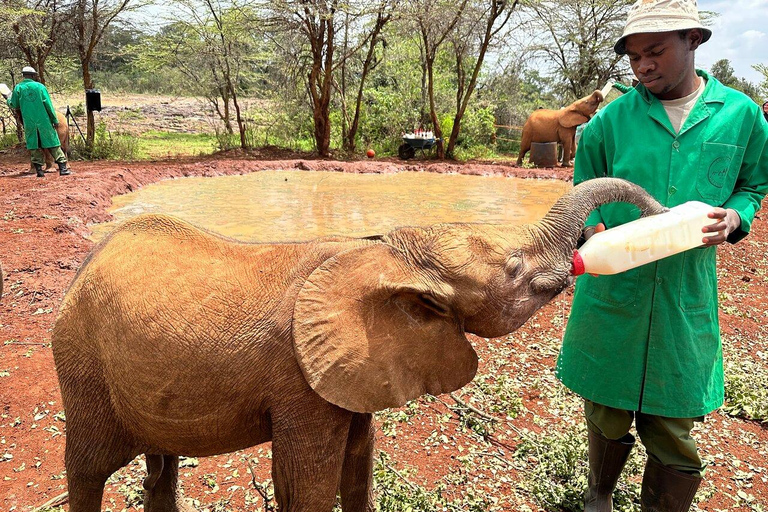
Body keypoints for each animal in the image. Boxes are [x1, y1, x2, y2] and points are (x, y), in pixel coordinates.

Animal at [52, 177, 664, 512]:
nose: (665, 210)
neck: (386, 254)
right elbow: (307, 485)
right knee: (88, 469)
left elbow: (358, 468)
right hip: (81, 361)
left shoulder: (357, 371)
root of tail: (87, 266)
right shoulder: (301, 384)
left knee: (160, 468)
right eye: (514, 267)